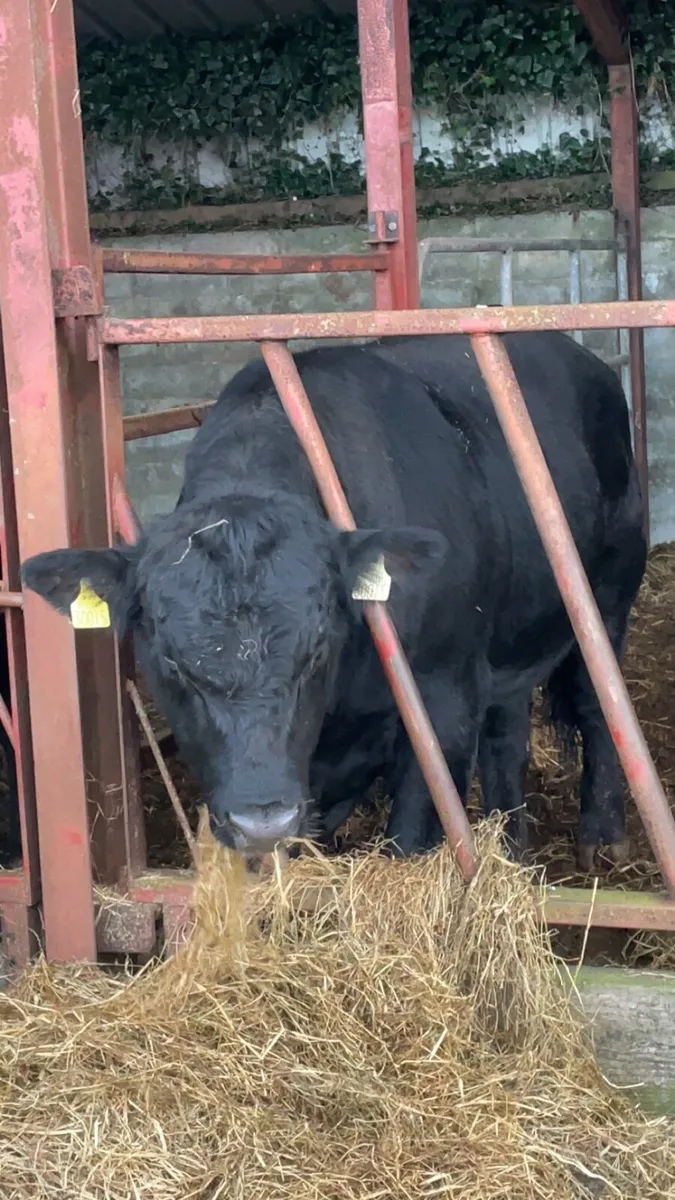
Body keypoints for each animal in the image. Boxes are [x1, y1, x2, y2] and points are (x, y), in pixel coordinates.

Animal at [20, 333, 647, 869]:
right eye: (173, 664)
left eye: (318, 649)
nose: (262, 821)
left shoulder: (443, 698)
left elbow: (411, 836)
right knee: (507, 735)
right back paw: (512, 851)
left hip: (608, 597)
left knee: (597, 705)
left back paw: (602, 838)